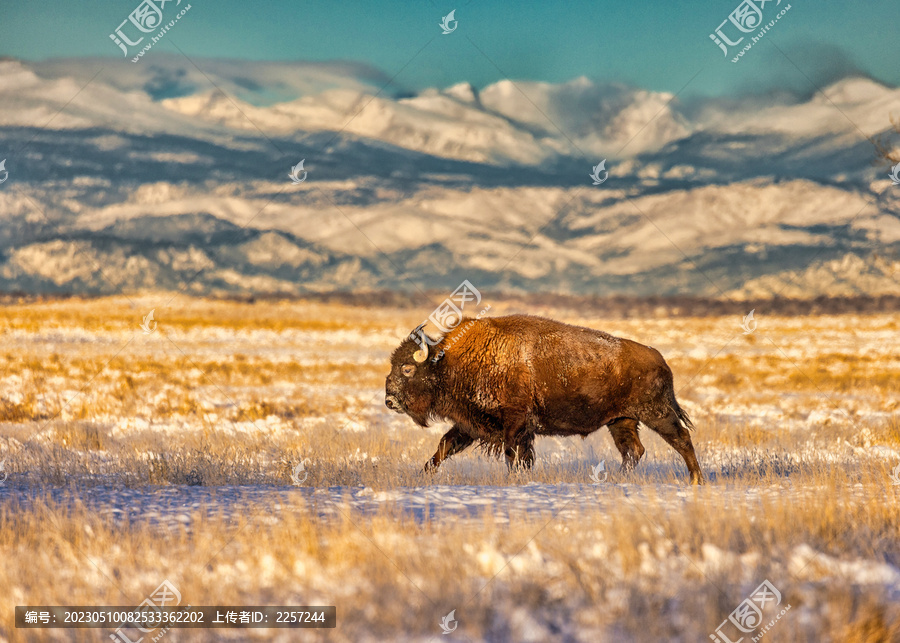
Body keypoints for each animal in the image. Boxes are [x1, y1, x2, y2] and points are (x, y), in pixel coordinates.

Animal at [384, 314, 708, 486]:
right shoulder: (470, 425)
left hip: (656, 413)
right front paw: (423, 475)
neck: (448, 362)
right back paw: (619, 478)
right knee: (633, 451)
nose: (389, 400)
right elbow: (443, 447)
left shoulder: (514, 423)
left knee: (681, 439)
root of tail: (660, 359)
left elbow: (512, 453)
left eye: (408, 368)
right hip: (620, 421)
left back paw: (696, 479)